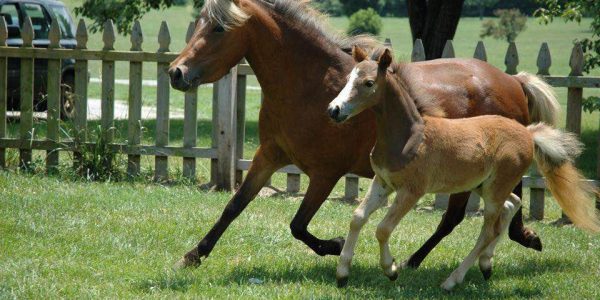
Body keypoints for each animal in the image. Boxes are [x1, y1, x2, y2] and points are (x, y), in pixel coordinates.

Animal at [166, 0, 556, 268]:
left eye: (218, 28)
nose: (176, 72)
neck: (313, 84)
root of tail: (513, 82)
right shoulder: (269, 156)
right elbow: (234, 206)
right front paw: (193, 255)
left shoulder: (325, 173)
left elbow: (298, 225)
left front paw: (336, 245)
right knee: (472, 212)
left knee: (465, 214)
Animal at [328, 47, 600, 290]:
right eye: (349, 78)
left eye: (368, 83)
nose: (334, 110)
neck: (409, 136)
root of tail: (529, 134)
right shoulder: (383, 182)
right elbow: (358, 217)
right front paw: (342, 274)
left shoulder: (411, 191)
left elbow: (383, 229)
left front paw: (391, 269)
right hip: (483, 186)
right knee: (511, 204)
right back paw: (486, 264)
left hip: (494, 189)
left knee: (489, 230)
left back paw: (452, 280)